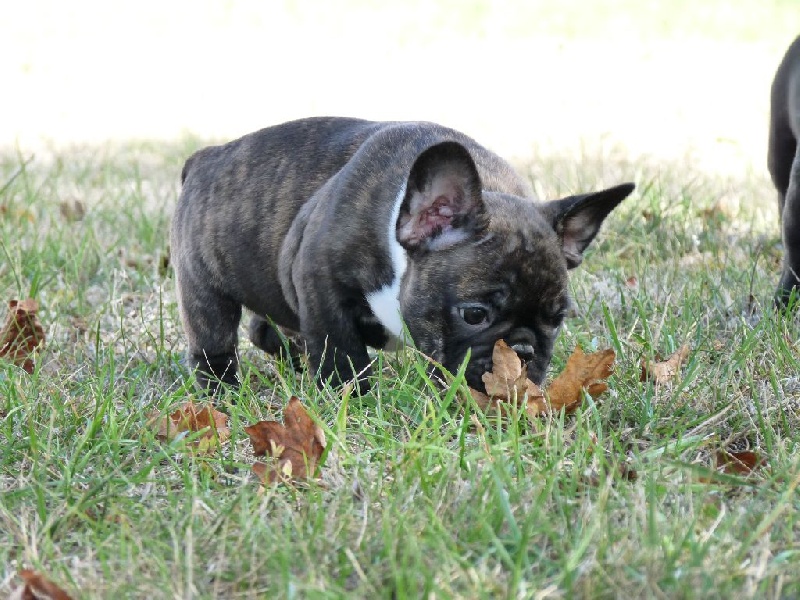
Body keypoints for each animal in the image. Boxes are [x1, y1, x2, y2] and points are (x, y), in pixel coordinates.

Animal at [172, 116, 636, 394]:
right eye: (474, 314)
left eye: (557, 321)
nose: (522, 352)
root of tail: (205, 158)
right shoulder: (319, 280)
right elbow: (341, 349)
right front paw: (351, 396)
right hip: (203, 288)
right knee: (214, 343)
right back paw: (222, 392)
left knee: (264, 329)